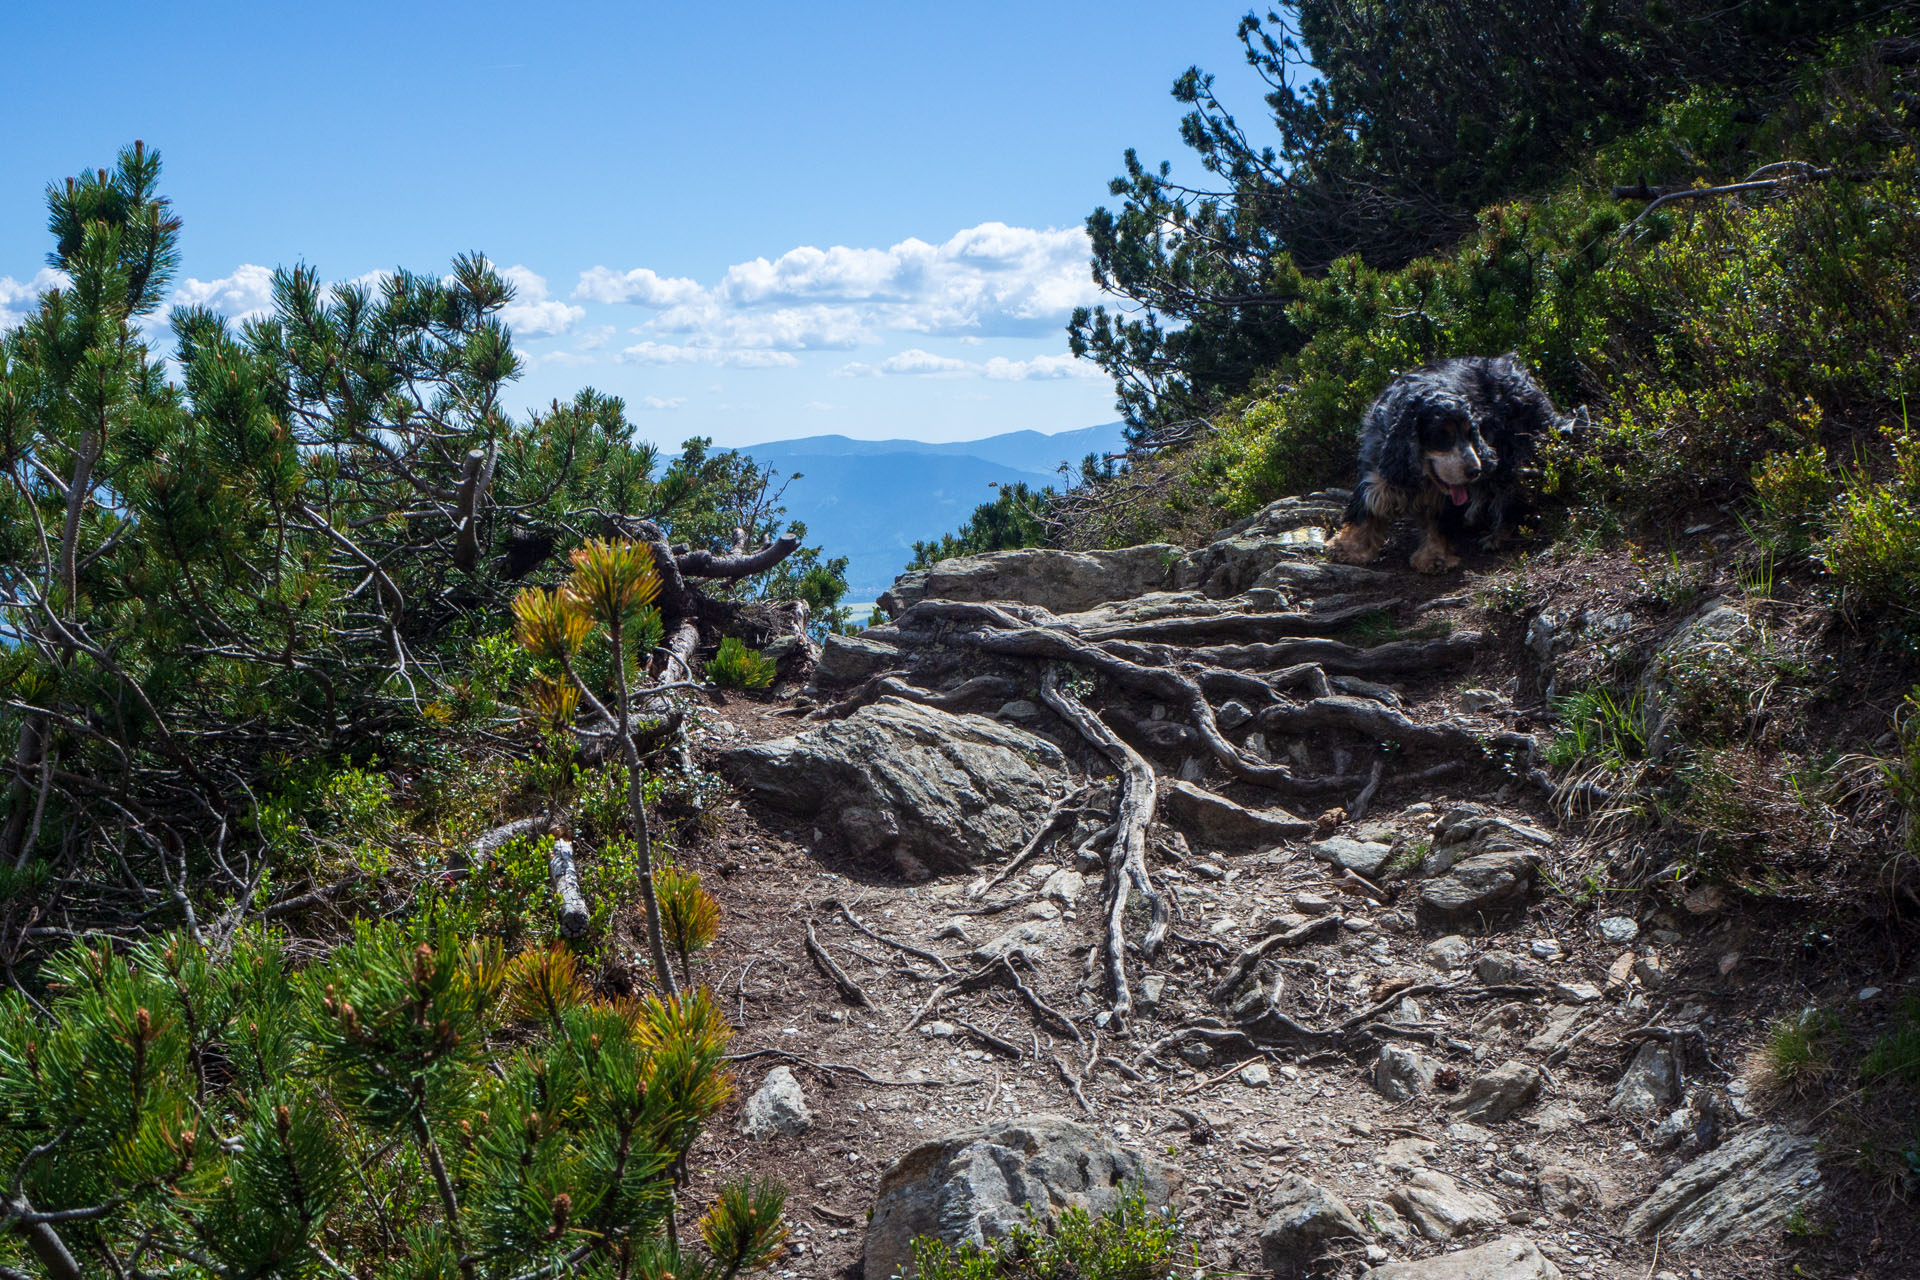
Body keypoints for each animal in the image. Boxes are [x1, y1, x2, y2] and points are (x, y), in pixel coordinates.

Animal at [1328, 351, 1582, 571]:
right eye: (1443, 436)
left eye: (1471, 433)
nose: (1475, 470)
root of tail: (1519, 371)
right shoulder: (1377, 469)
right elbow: (1367, 509)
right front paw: (1349, 548)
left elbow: (1438, 521)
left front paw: (1435, 557)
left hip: (1513, 455)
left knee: (1511, 494)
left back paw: (1497, 535)